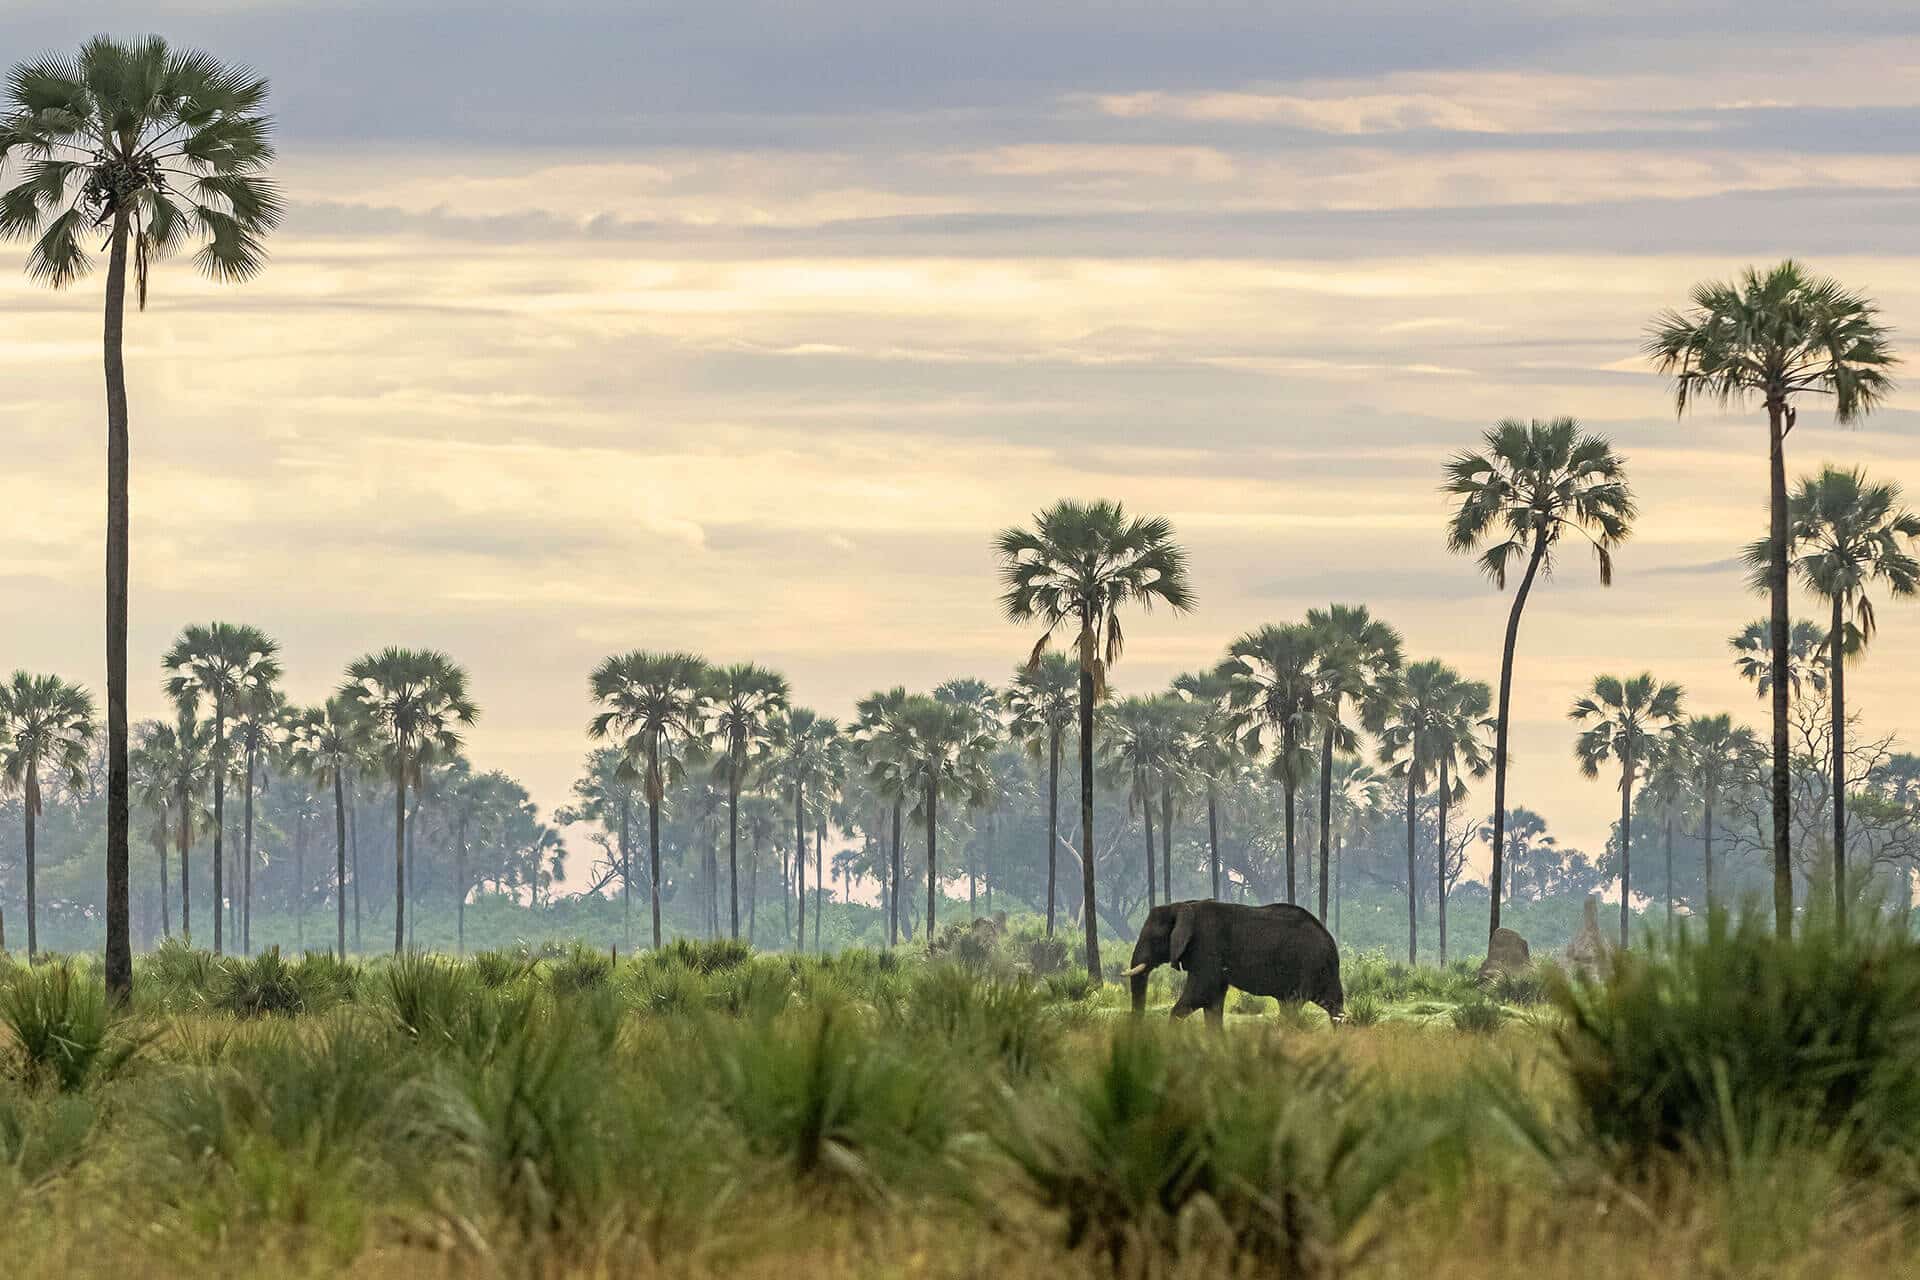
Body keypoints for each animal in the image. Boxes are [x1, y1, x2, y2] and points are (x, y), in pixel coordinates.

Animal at [1126, 899, 1343, 1028]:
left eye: (1154, 939)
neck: (1182, 906)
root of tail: (1330, 940)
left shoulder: (1207, 946)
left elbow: (1200, 993)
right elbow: (1212, 1000)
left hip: (1309, 965)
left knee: (1294, 1004)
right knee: (1331, 1005)